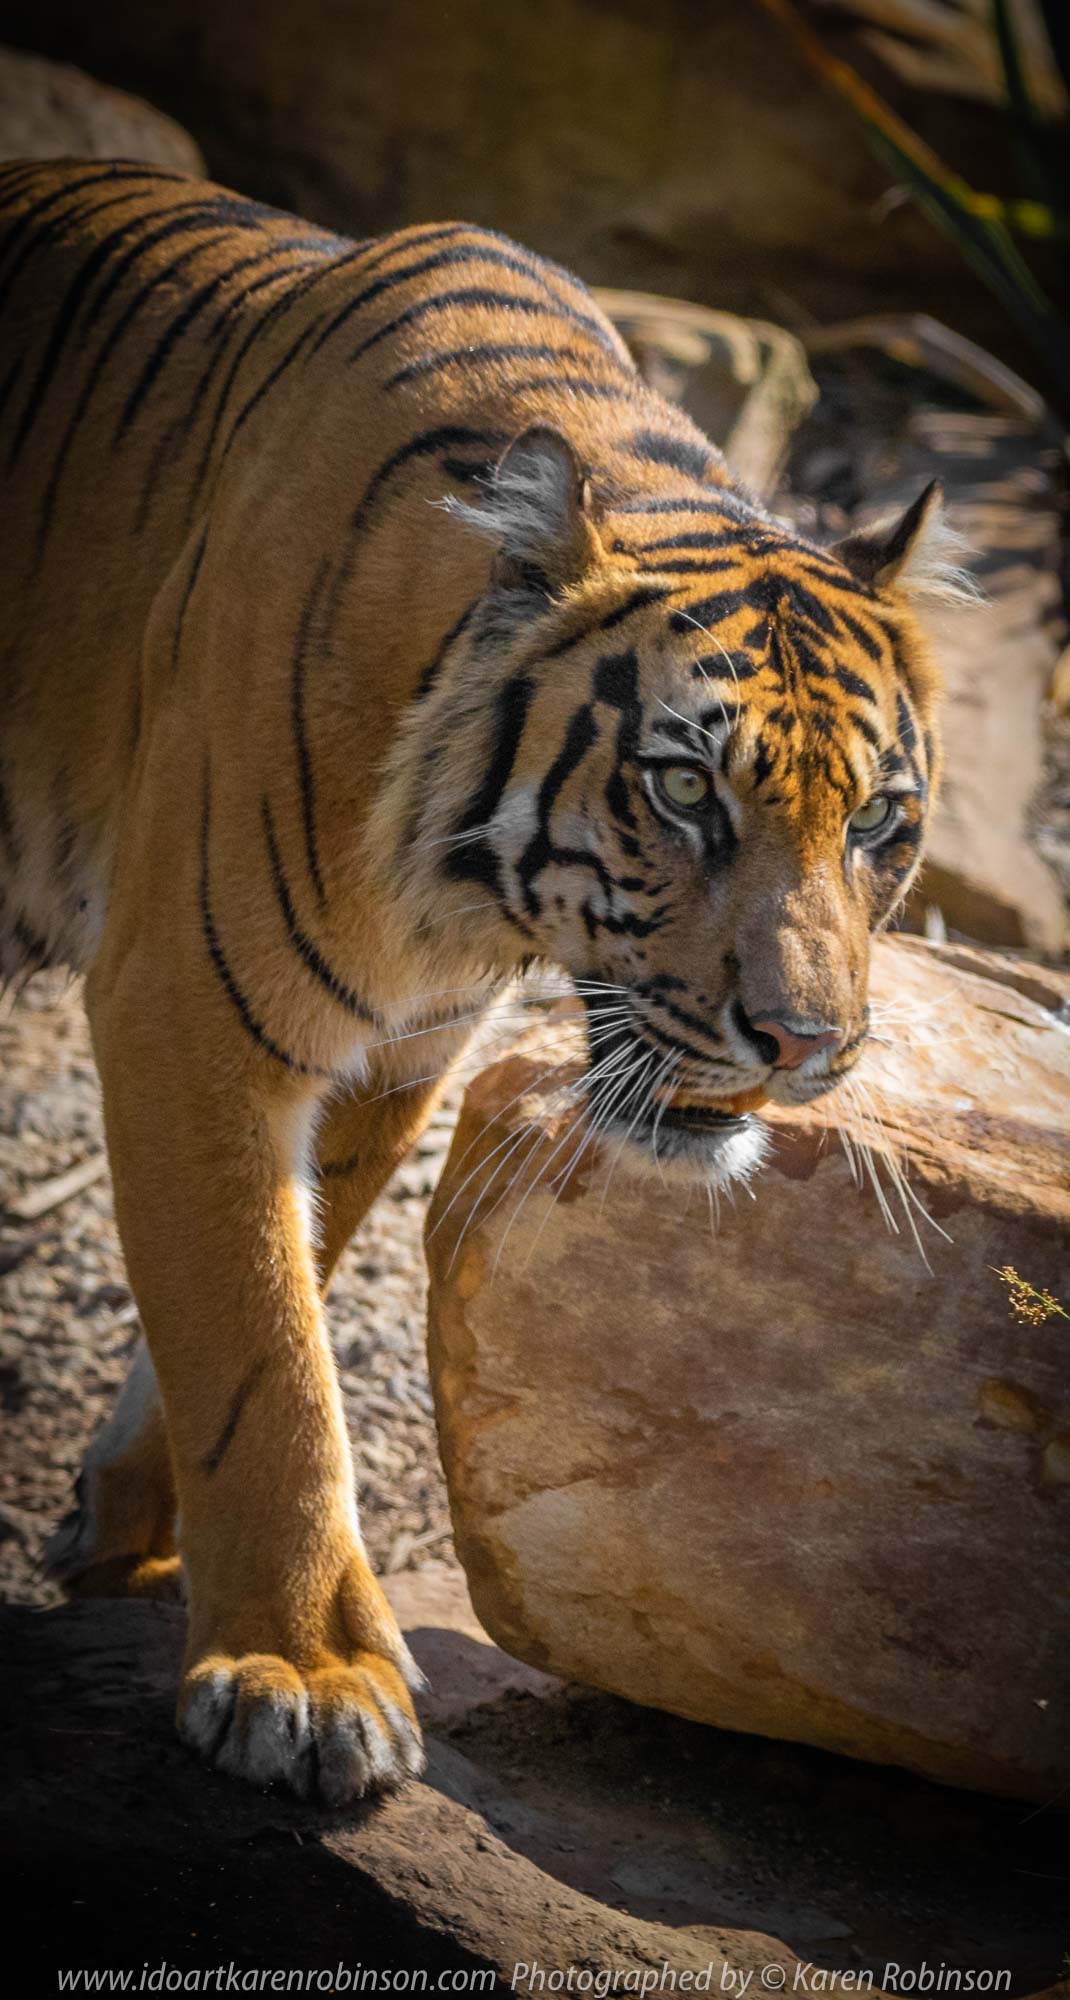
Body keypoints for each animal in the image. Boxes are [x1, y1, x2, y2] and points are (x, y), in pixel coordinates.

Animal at [0, 159, 970, 1806]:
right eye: (683, 790)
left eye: (879, 824)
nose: (803, 1046)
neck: (454, 907)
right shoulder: (189, 1007)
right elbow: (261, 1347)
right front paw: (298, 1672)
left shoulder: (398, 1050)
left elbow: (285, 1278)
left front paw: (130, 1531)